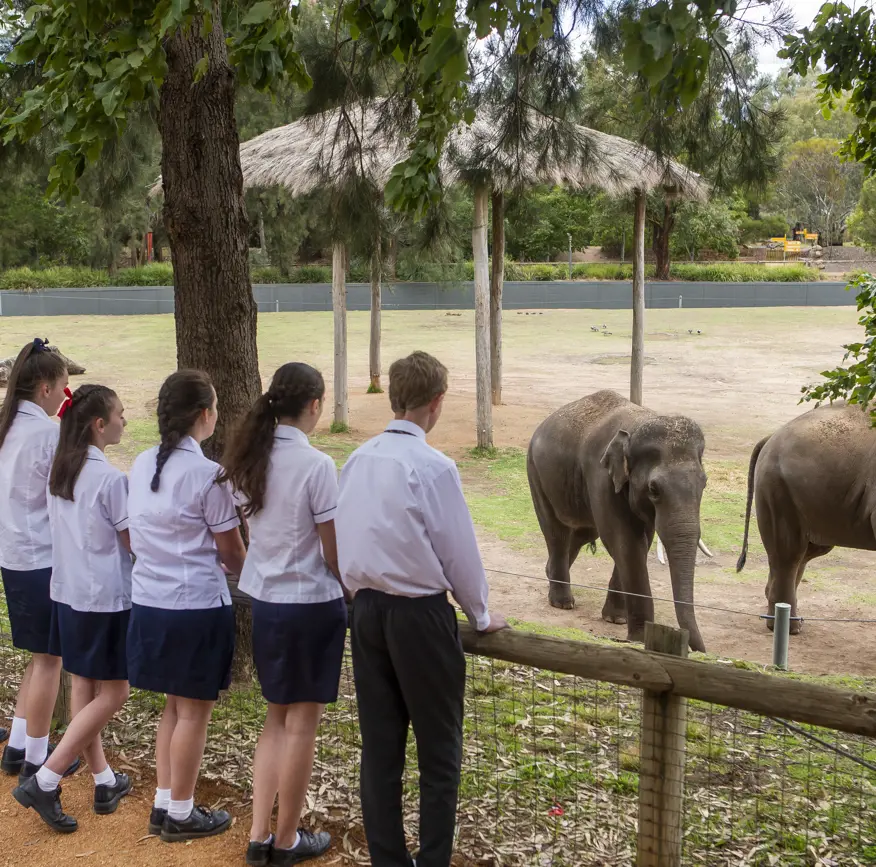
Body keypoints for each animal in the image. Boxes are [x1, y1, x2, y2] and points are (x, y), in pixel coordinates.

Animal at [527, 390, 708, 652]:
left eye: (704, 483)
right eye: (654, 489)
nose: (699, 650)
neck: (639, 423)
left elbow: (641, 540)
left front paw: (616, 619)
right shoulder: (601, 476)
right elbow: (624, 542)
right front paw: (640, 637)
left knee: (582, 533)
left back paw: (550, 574)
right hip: (536, 473)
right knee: (555, 531)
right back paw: (562, 603)